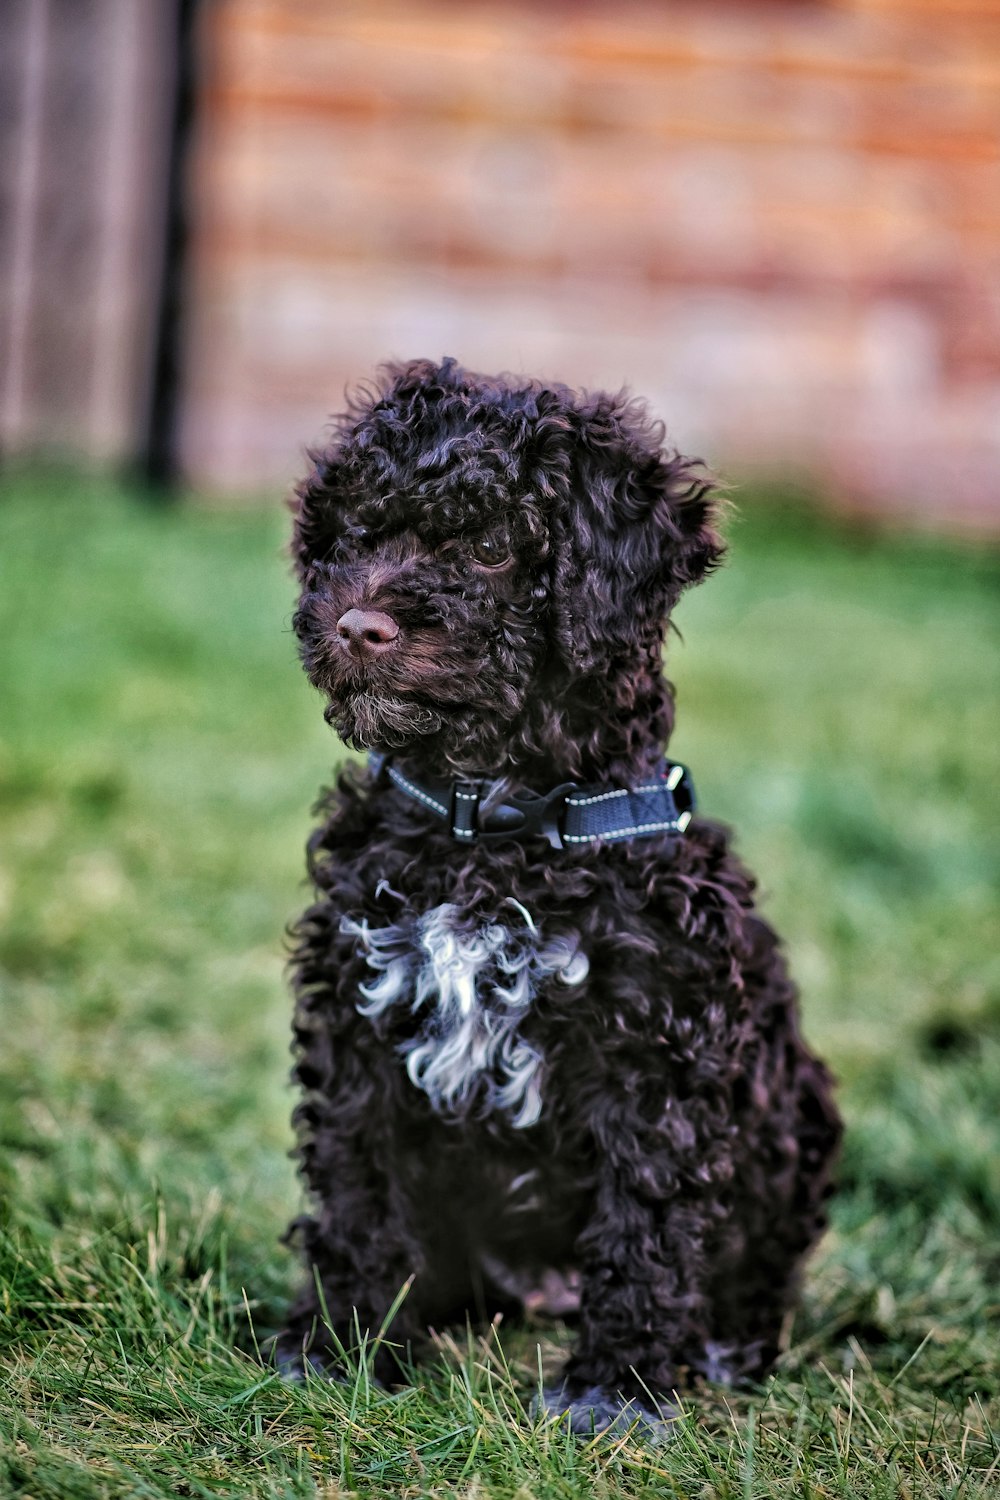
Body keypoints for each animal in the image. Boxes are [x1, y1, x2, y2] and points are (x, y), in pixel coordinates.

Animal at [277, 357, 839, 1434]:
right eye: (359, 536)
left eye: (496, 549)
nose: (357, 624)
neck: (491, 828)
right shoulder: (360, 1018)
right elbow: (358, 1186)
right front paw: (346, 1343)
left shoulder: (654, 1051)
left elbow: (643, 1224)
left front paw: (611, 1389)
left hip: (797, 1120)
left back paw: (726, 1342)